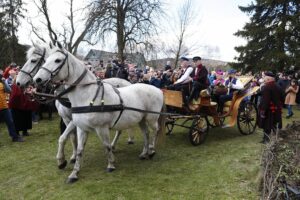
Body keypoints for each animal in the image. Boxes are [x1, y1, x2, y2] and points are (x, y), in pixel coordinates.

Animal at [33, 45, 165, 183]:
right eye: (46, 59)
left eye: (57, 60)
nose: (37, 79)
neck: (88, 96)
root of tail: (158, 90)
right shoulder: (81, 128)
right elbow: (79, 150)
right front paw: (74, 173)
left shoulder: (101, 128)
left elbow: (106, 145)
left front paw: (111, 165)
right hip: (141, 119)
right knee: (146, 133)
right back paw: (144, 153)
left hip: (151, 118)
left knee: (154, 131)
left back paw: (151, 151)